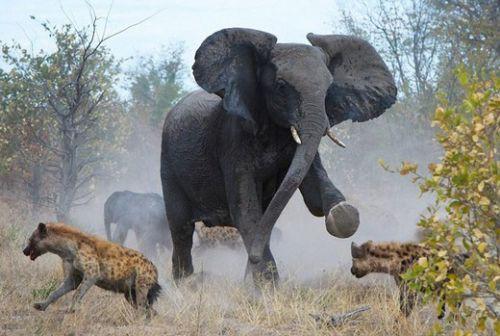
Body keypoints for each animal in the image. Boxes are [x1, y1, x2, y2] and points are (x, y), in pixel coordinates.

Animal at [23, 222, 160, 314]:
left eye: (30, 239)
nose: (24, 251)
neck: (68, 250)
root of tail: (154, 268)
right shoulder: (74, 276)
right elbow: (57, 291)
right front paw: (40, 305)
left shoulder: (92, 273)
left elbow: (77, 293)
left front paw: (71, 309)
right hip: (130, 293)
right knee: (149, 310)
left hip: (141, 284)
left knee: (143, 306)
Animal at [162, 28, 396, 284]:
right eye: (281, 86)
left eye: (329, 88)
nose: (253, 257)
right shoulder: (232, 140)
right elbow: (245, 211)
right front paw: (267, 287)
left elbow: (314, 196)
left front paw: (343, 213)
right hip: (168, 165)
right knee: (181, 229)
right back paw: (185, 284)